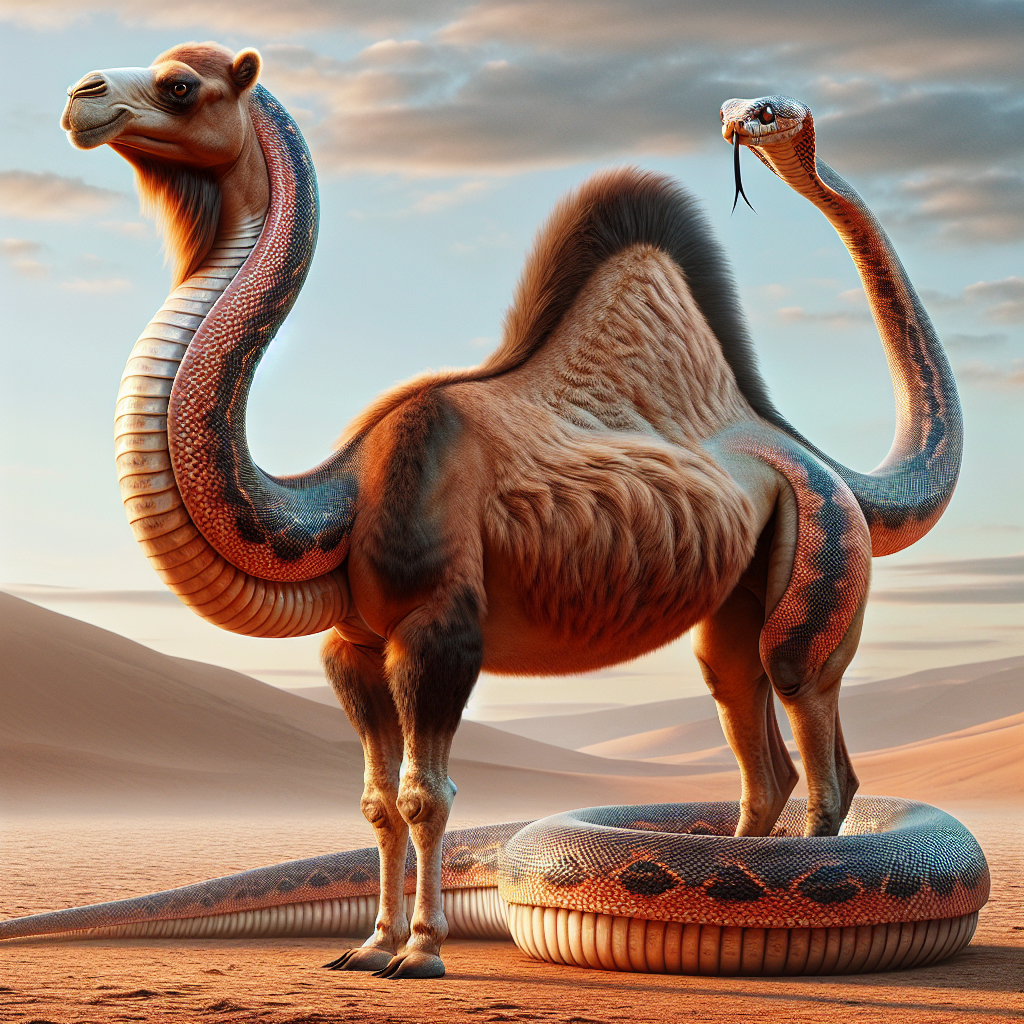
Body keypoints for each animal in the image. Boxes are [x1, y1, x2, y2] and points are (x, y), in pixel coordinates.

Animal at [61, 45, 961, 978]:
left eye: (179, 85)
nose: (82, 98)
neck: (339, 497)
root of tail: (818, 460)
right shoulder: (354, 646)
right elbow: (376, 800)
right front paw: (369, 945)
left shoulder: (440, 630)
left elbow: (426, 794)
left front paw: (421, 953)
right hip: (739, 591)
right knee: (749, 725)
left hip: (822, 537)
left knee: (809, 718)